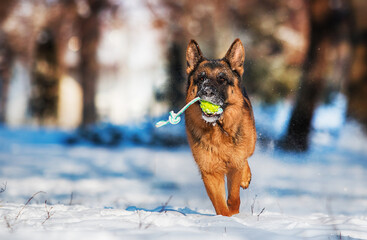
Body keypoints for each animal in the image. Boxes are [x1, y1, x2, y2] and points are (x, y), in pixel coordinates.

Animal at [185, 39, 258, 216]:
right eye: (201, 78)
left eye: (222, 79)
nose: (206, 92)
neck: (217, 129)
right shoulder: (210, 172)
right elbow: (219, 204)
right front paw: (225, 219)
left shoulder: (234, 166)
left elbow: (233, 198)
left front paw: (234, 215)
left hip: (250, 142)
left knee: (246, 156)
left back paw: (246, 178)